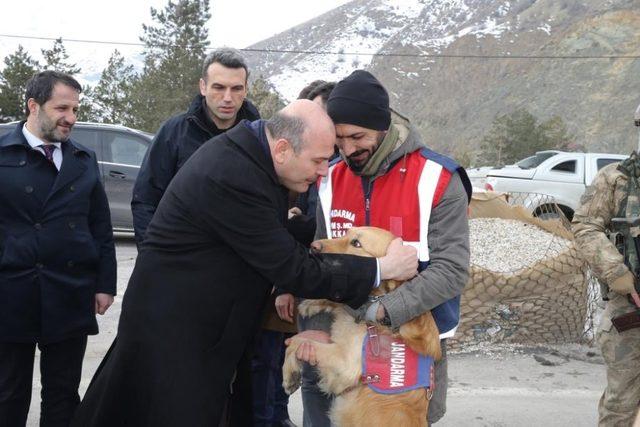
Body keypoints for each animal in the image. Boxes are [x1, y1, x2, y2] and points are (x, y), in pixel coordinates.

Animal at [282, 226, 442, 426]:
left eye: (356, 243)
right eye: (345, 233)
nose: (313, 246)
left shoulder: (345, 365)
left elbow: (299, 343)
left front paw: (289, 376)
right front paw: (311, 304)